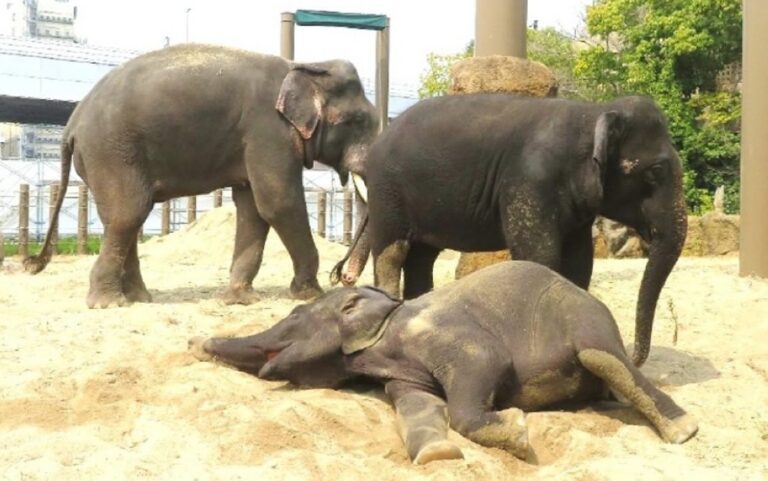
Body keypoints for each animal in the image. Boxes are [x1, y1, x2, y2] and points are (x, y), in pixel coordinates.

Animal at [25, 44, 378, 308]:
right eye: (359, 121)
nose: (343, 277)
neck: (305, 65)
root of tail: (71, 125)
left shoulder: (255, 140)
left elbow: (252, 208)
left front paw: (239, 299)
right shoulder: (268, 130)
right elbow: (279, 202)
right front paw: (311, 294)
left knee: (123, 218)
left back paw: (139, 298)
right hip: (112, 152)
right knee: (128, 214)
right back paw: (110, 303)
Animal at [188, 261, 698, 465]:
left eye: (294, 315)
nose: (193, 343)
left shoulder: (441, 332)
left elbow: (483, 362)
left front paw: (516, 431)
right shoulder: (401, 375)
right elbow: (418, 405)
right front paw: (438, 456)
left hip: (584, 318)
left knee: (601, 355)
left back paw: (683, 431)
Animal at [337, 94, 687, 366]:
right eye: (656, 171)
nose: (632, 356)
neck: (592, 112)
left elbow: (579, 264)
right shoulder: (530, 183)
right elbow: (540, 257)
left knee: (422, 258)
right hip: (387, 192)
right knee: (393, 252)